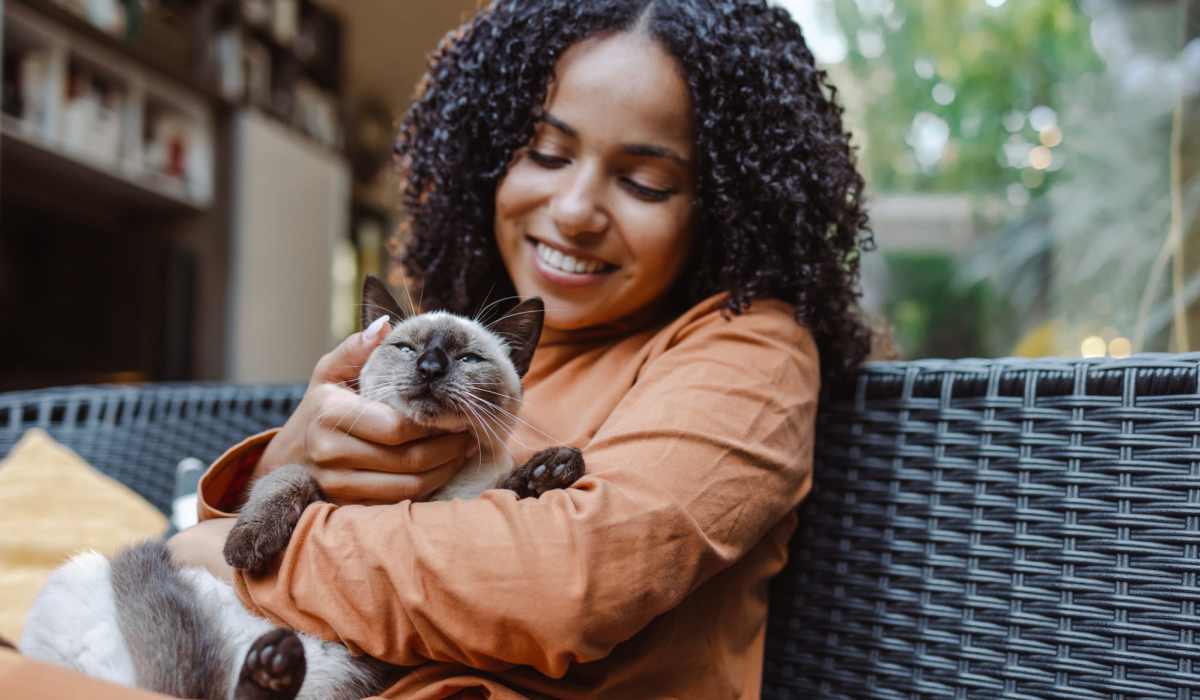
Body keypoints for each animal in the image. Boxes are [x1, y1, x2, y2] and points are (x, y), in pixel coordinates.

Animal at [17, 278, 580, 700]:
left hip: (339, 674)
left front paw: (553, 470)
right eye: (406, 348)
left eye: (467, 359)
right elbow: (291, 479)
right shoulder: (322, 481)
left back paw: (272, 668)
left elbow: (508, 484)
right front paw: (247, 548)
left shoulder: (469, 502)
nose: (430, 367)